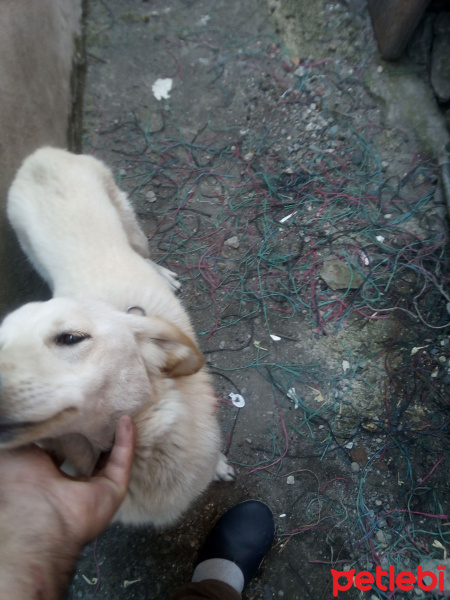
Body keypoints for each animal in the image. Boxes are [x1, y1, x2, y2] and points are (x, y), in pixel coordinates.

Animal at [0, 149, 232, 524]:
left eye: (70, 337)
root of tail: (42, 154)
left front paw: (220, 466)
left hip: (132, 225)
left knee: (143, 252)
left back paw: (162, 273)